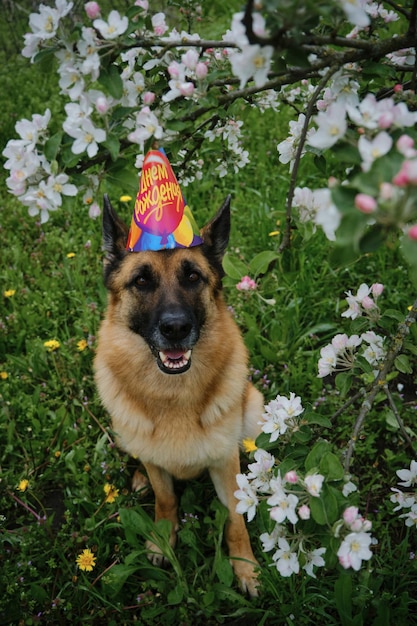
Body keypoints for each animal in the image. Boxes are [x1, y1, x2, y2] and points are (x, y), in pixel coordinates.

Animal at [95, 193, 264, 592]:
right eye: (141, 280)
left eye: (193, 276)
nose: (176, 328)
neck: (173, 395)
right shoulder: (160, 471)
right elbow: (166, 499)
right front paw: (162, 541)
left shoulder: (224, 464)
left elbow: (236, 519)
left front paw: (244, 567)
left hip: (254, 410)